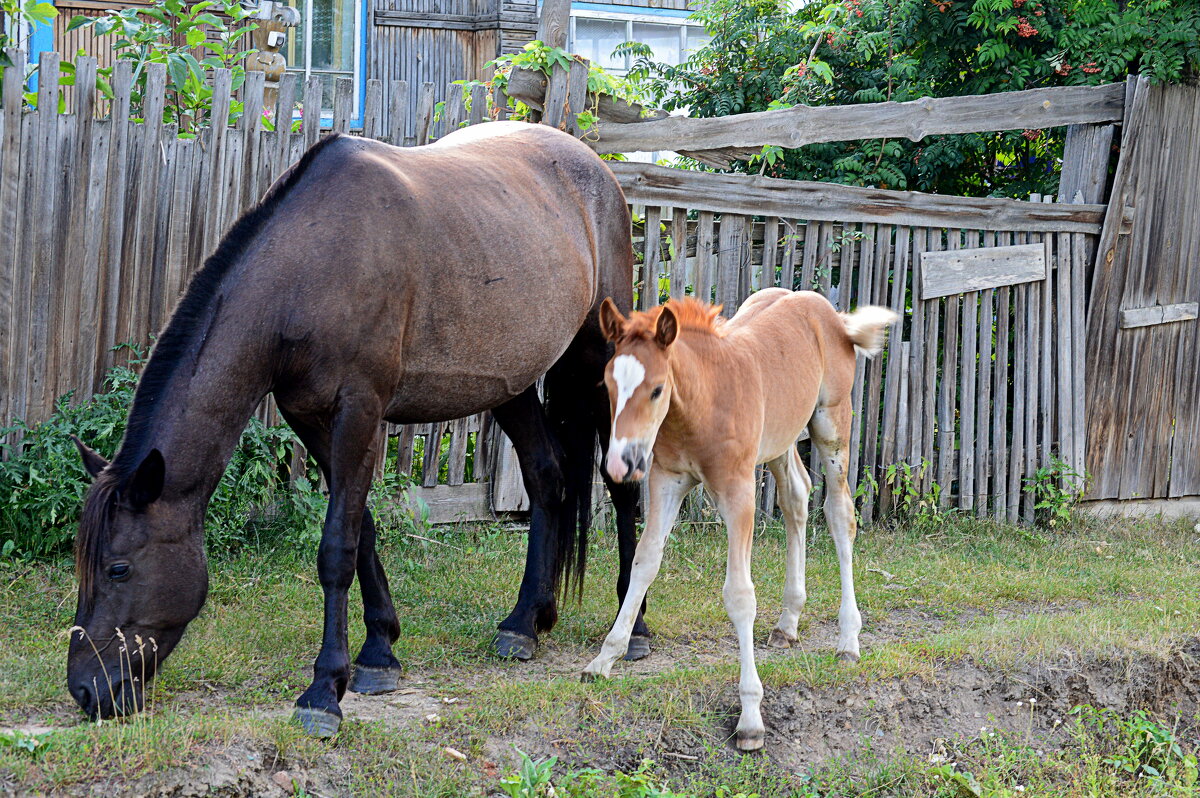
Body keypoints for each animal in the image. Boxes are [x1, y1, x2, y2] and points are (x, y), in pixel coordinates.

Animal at [68, 120, 648, 734]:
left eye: (119, 568)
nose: (84, 689)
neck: (311, 266)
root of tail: (599, 170)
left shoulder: (361, 411)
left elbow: (336, 547)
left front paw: (324, 690)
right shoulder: (313, 418)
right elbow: (362, 528)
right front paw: (378, 653)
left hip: (599, 360)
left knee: (621, 485)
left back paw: (632, 627)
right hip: (508, 383)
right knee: (545, 477)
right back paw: (524, 621)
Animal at [580, 289, 902, 748]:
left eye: (657, 389)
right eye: (608, 385)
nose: (620, 465)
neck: (703, 402)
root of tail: (832, 315)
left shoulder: (738, 492)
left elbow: (739, 594)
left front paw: (751, 716)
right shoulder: (666, 480)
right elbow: (644, 563)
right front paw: (605, 658)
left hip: (831, 424)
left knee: (840, 516)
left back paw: (848, 641)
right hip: (780, 439)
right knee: (796, 496)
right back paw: (788, 622)